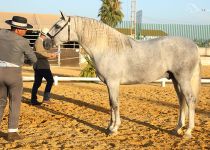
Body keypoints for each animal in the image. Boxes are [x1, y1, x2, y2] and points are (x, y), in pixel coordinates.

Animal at [46, 13, 201, 138]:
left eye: (57, 25)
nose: (45, 42)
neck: (106, 48)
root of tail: (194, 45)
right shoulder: (108, 84)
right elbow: (110, 103)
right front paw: (109, 127)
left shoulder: (113, 82)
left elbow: (115, 104)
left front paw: (114, 128)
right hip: (175, 79)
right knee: (182, 101)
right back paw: (178, 129)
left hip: (183, 79)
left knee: (190, 100)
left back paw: (188, 132)